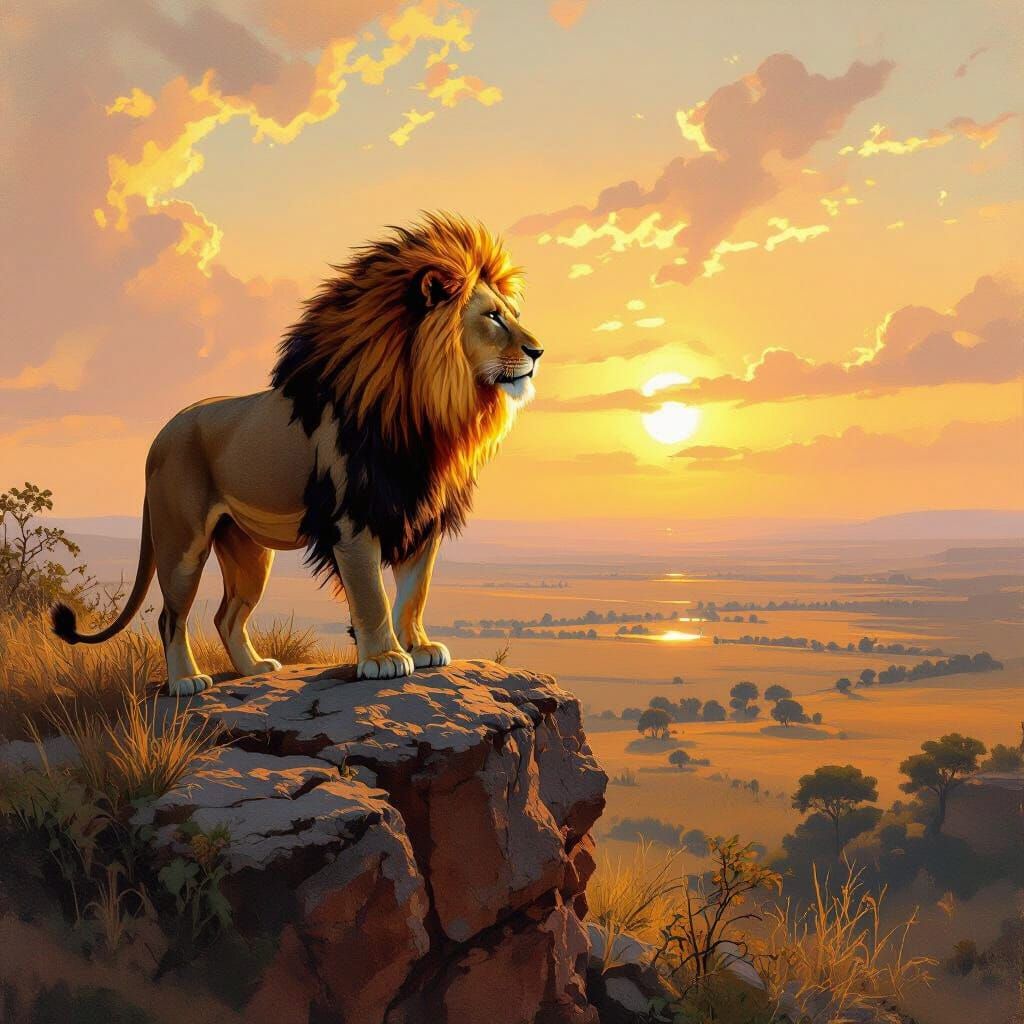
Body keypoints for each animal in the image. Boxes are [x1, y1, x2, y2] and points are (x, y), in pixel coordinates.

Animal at [52, 213, 543, 696]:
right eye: (493, 317)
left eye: (514, 315)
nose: (538, 351)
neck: (426, 413)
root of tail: (161, 434)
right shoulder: (353, 519)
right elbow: (373, 596)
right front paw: (384, 658)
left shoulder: (418, 516)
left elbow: (414, 593)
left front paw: (420, 648)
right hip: (182, 546)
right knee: (171, 617)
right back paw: (185, 681)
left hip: (248, 552)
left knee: (226, 615)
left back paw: (253, 669)